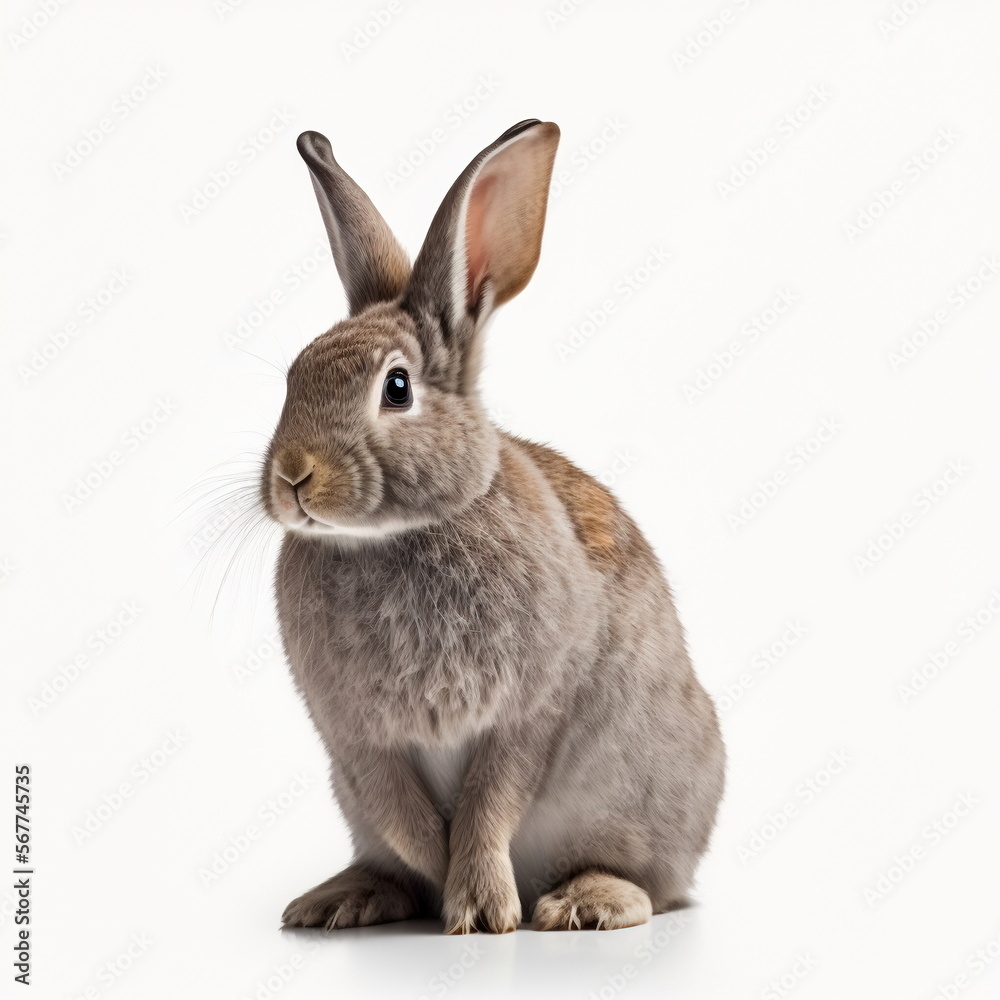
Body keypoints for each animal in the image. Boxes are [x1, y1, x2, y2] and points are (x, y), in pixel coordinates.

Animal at [263, 119, 725, 935]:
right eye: (293, 377)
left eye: (397, 387)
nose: (293, 476)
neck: (404, 533)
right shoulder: (356, 736)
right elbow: (402, 808)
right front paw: (438, 879)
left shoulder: (532, 708)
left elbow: (490, 800)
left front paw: (479, 911)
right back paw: (344, 898)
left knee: (656, 886)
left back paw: (585, 902)